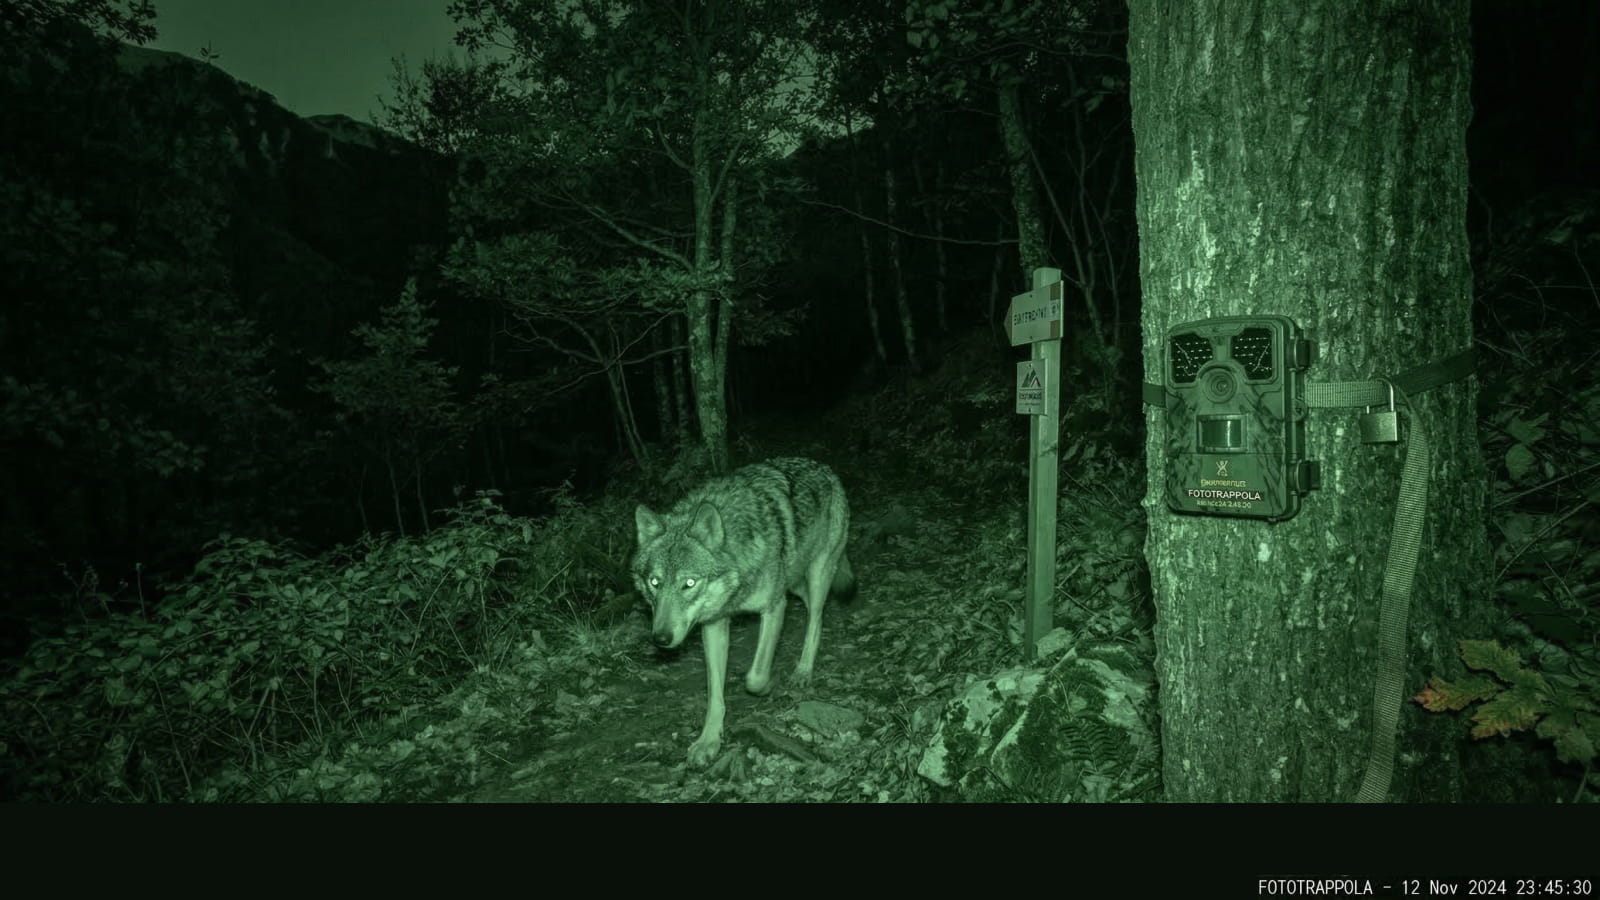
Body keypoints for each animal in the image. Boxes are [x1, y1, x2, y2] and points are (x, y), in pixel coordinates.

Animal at [632, 457, 854, 768]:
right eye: (655, 582)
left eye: (689, 584)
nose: (661, 639)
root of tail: (823, 466)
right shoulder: (714, 623)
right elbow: (714, 693)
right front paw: (709, 741)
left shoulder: (774, 607)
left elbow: (755, 675)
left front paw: (768, 685)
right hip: (795, 581)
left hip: (818, 573)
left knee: (816, 618)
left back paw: (803, 671)